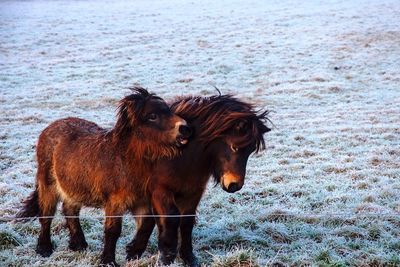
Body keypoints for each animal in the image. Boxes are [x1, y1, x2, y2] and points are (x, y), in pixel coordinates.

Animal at [18, 87, 193, 266]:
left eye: (169, 111)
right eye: (152, 116)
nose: (185, 128)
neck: (126, 161)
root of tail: (49, 128)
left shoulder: (142, 201)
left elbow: (147, 224)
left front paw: (133, 251)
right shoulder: (115, 202)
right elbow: (113, 230)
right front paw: (108, 260)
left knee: (69, 209)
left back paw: (78, 244)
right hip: (48, 185)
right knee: (46, 215)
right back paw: (44, 248)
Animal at [125, 93, 270, 266]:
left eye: (250, 151)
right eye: (234, 147)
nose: (235, 185)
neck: (179, 158)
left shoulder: (193, 193)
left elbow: (186, 222)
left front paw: (188, 257)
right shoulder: (160, 192)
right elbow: (170, 218)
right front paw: (166, 257)